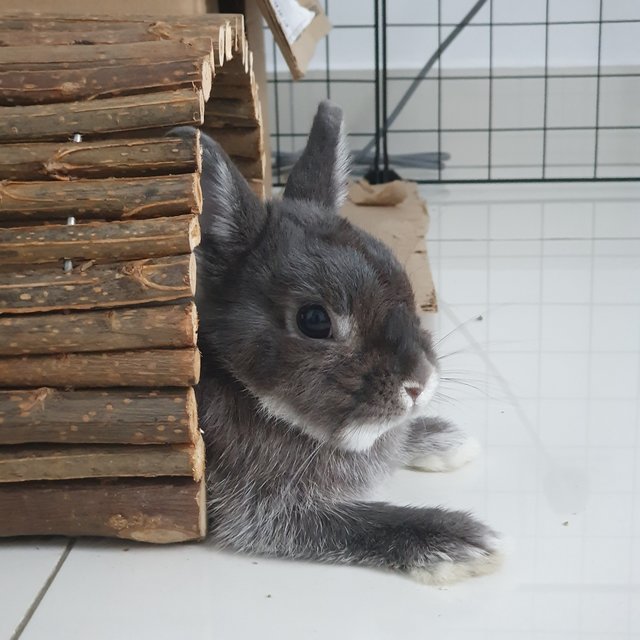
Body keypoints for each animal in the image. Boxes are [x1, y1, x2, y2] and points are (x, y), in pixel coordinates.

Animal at [169, 102, 500, 588]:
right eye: (314, 320)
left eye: (404, 282)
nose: (419, 384)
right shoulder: (266, 513)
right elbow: (358, 523)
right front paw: (459, 544)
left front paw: (447, 439)